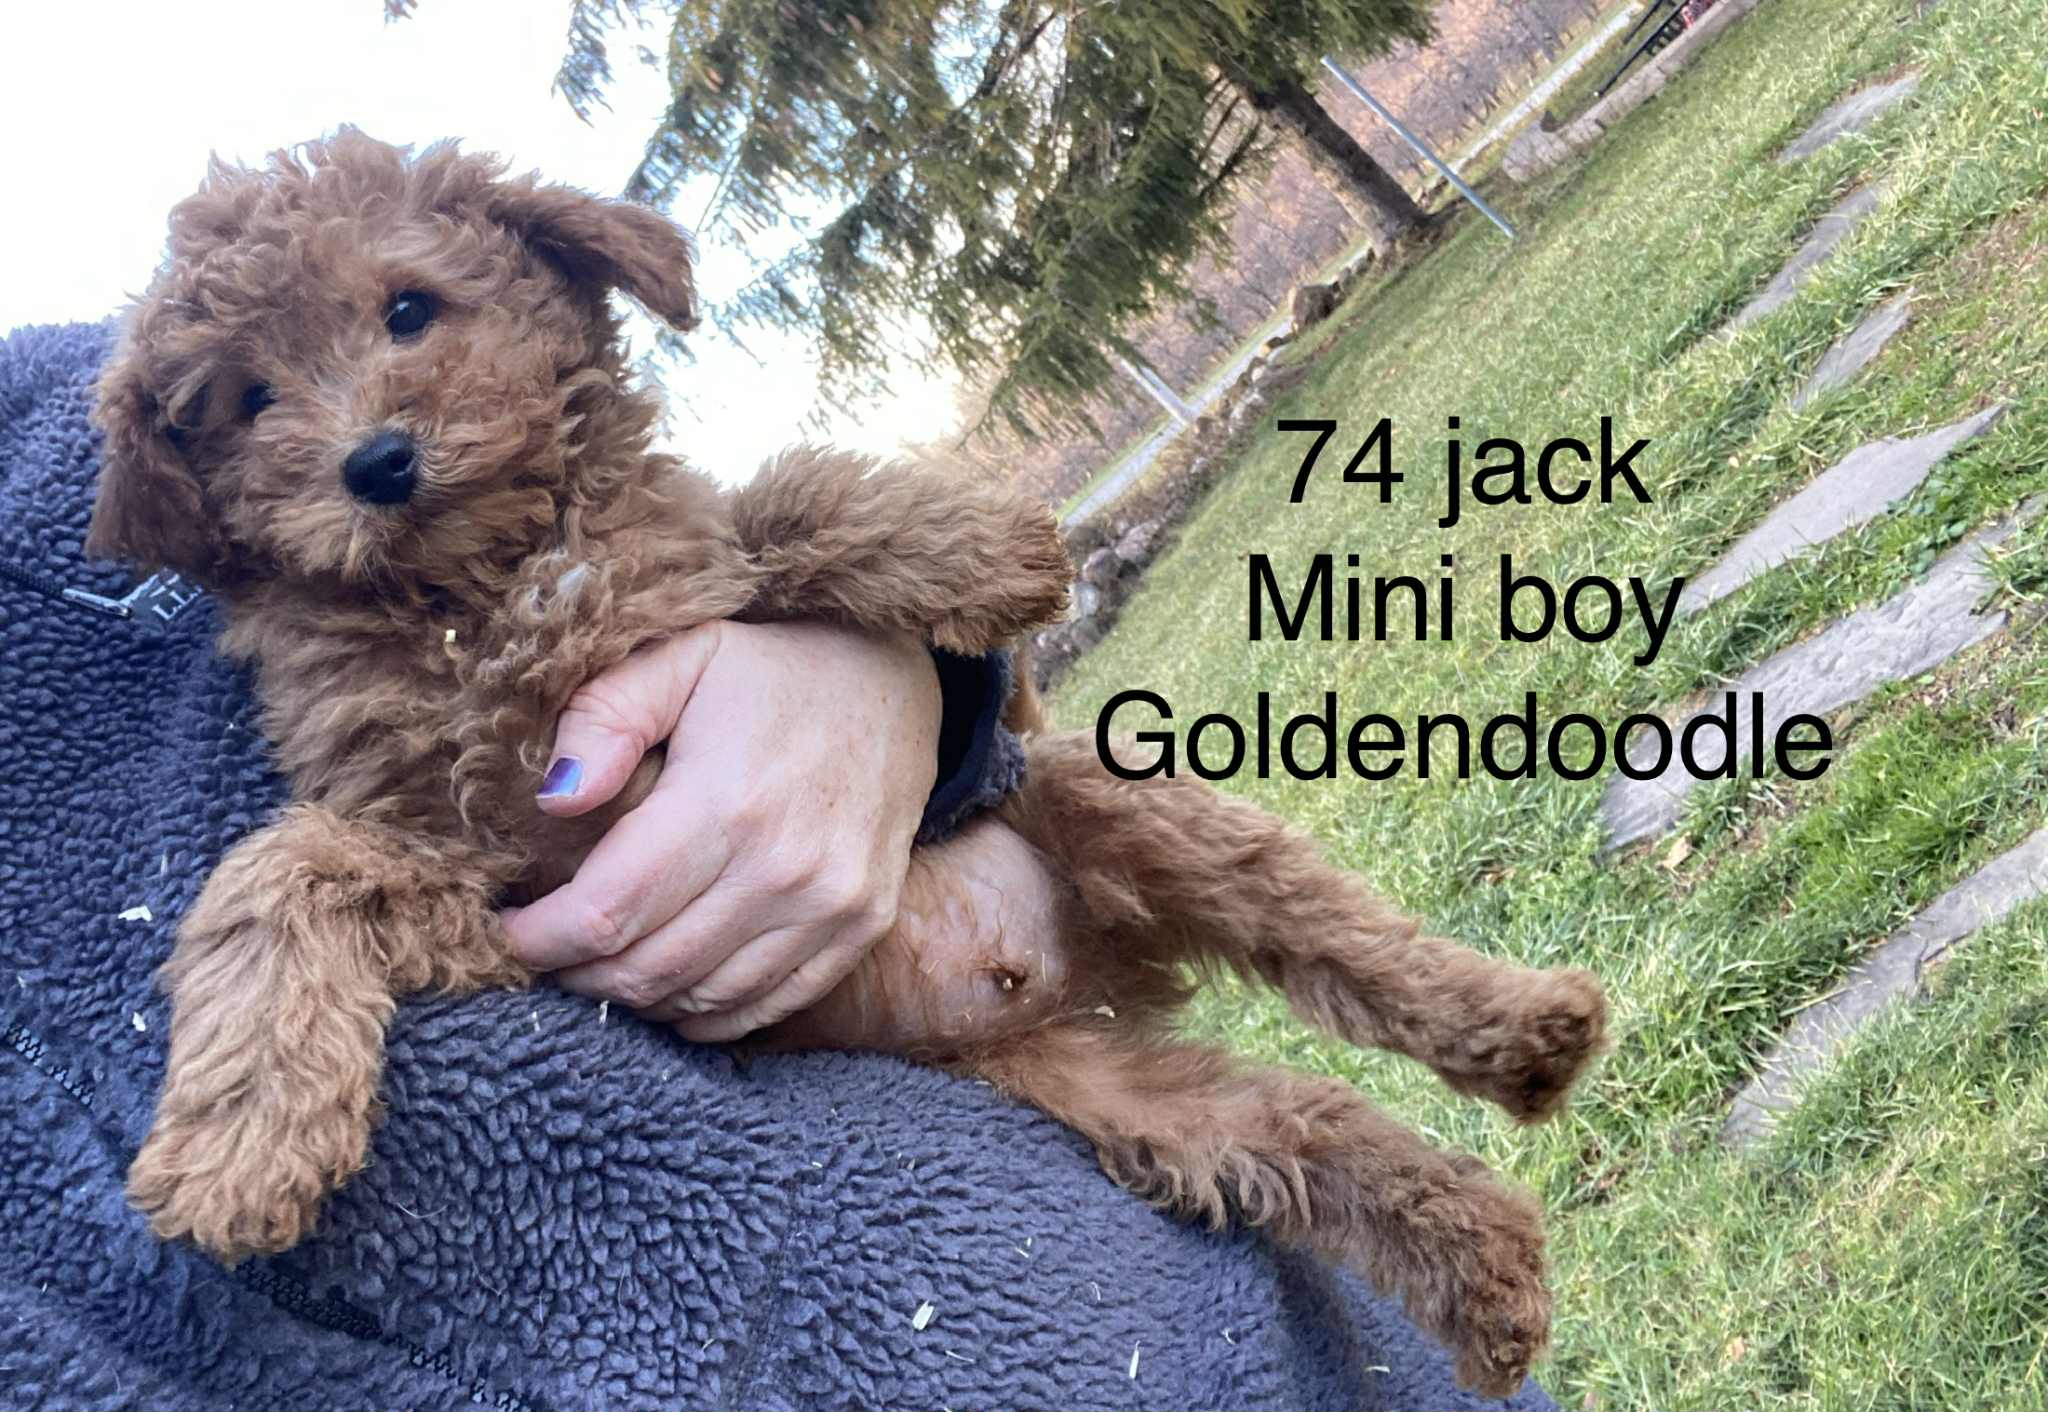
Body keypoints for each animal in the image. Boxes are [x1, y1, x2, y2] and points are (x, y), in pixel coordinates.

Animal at [87, 130, 1606, 1397]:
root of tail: (1074, 977)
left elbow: (780, 505)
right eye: (248, 400)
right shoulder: (492, 878)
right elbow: (281, 870)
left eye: (408, 309)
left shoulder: (701, 612)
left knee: (1344, 943)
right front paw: (236, 1143)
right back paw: (1491, 1272)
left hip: (1102, 800)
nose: (376, 464)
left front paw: (987, 552)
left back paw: (1525, 1028)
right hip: (1129, 1106)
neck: (486, 595)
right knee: (1312, 1138)